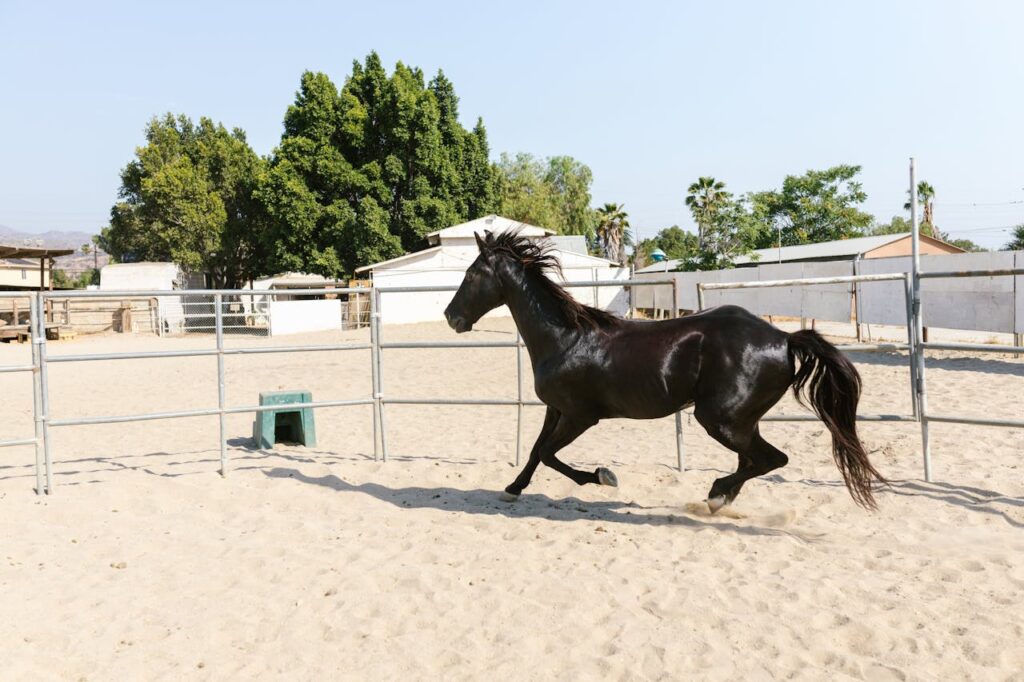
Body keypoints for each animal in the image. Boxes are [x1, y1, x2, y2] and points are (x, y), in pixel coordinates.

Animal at [443, 230, 887, 512]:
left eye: (471, 273)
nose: (451, 317)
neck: (565, 338)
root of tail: (783, 337)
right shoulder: (556, 410)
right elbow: (537, 451)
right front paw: (511, 489)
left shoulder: (581, 415)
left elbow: (551, 455)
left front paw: (604, 476)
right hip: (741, 421)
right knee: (754, 460)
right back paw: (721, 497)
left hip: (719, 419)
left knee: (771, 459)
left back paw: (716, 496)